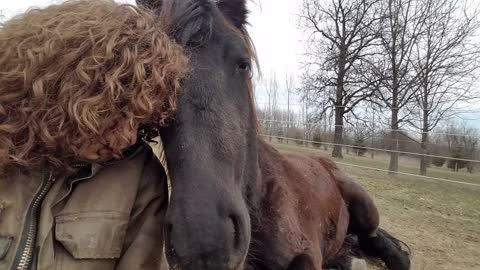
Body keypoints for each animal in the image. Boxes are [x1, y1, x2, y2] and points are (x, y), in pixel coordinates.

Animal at [137, 0, 410, 268]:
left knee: (376, 239)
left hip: (365, 208)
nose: (204, 241)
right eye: (158, 76)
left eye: (244, 64)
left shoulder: (308, 252)